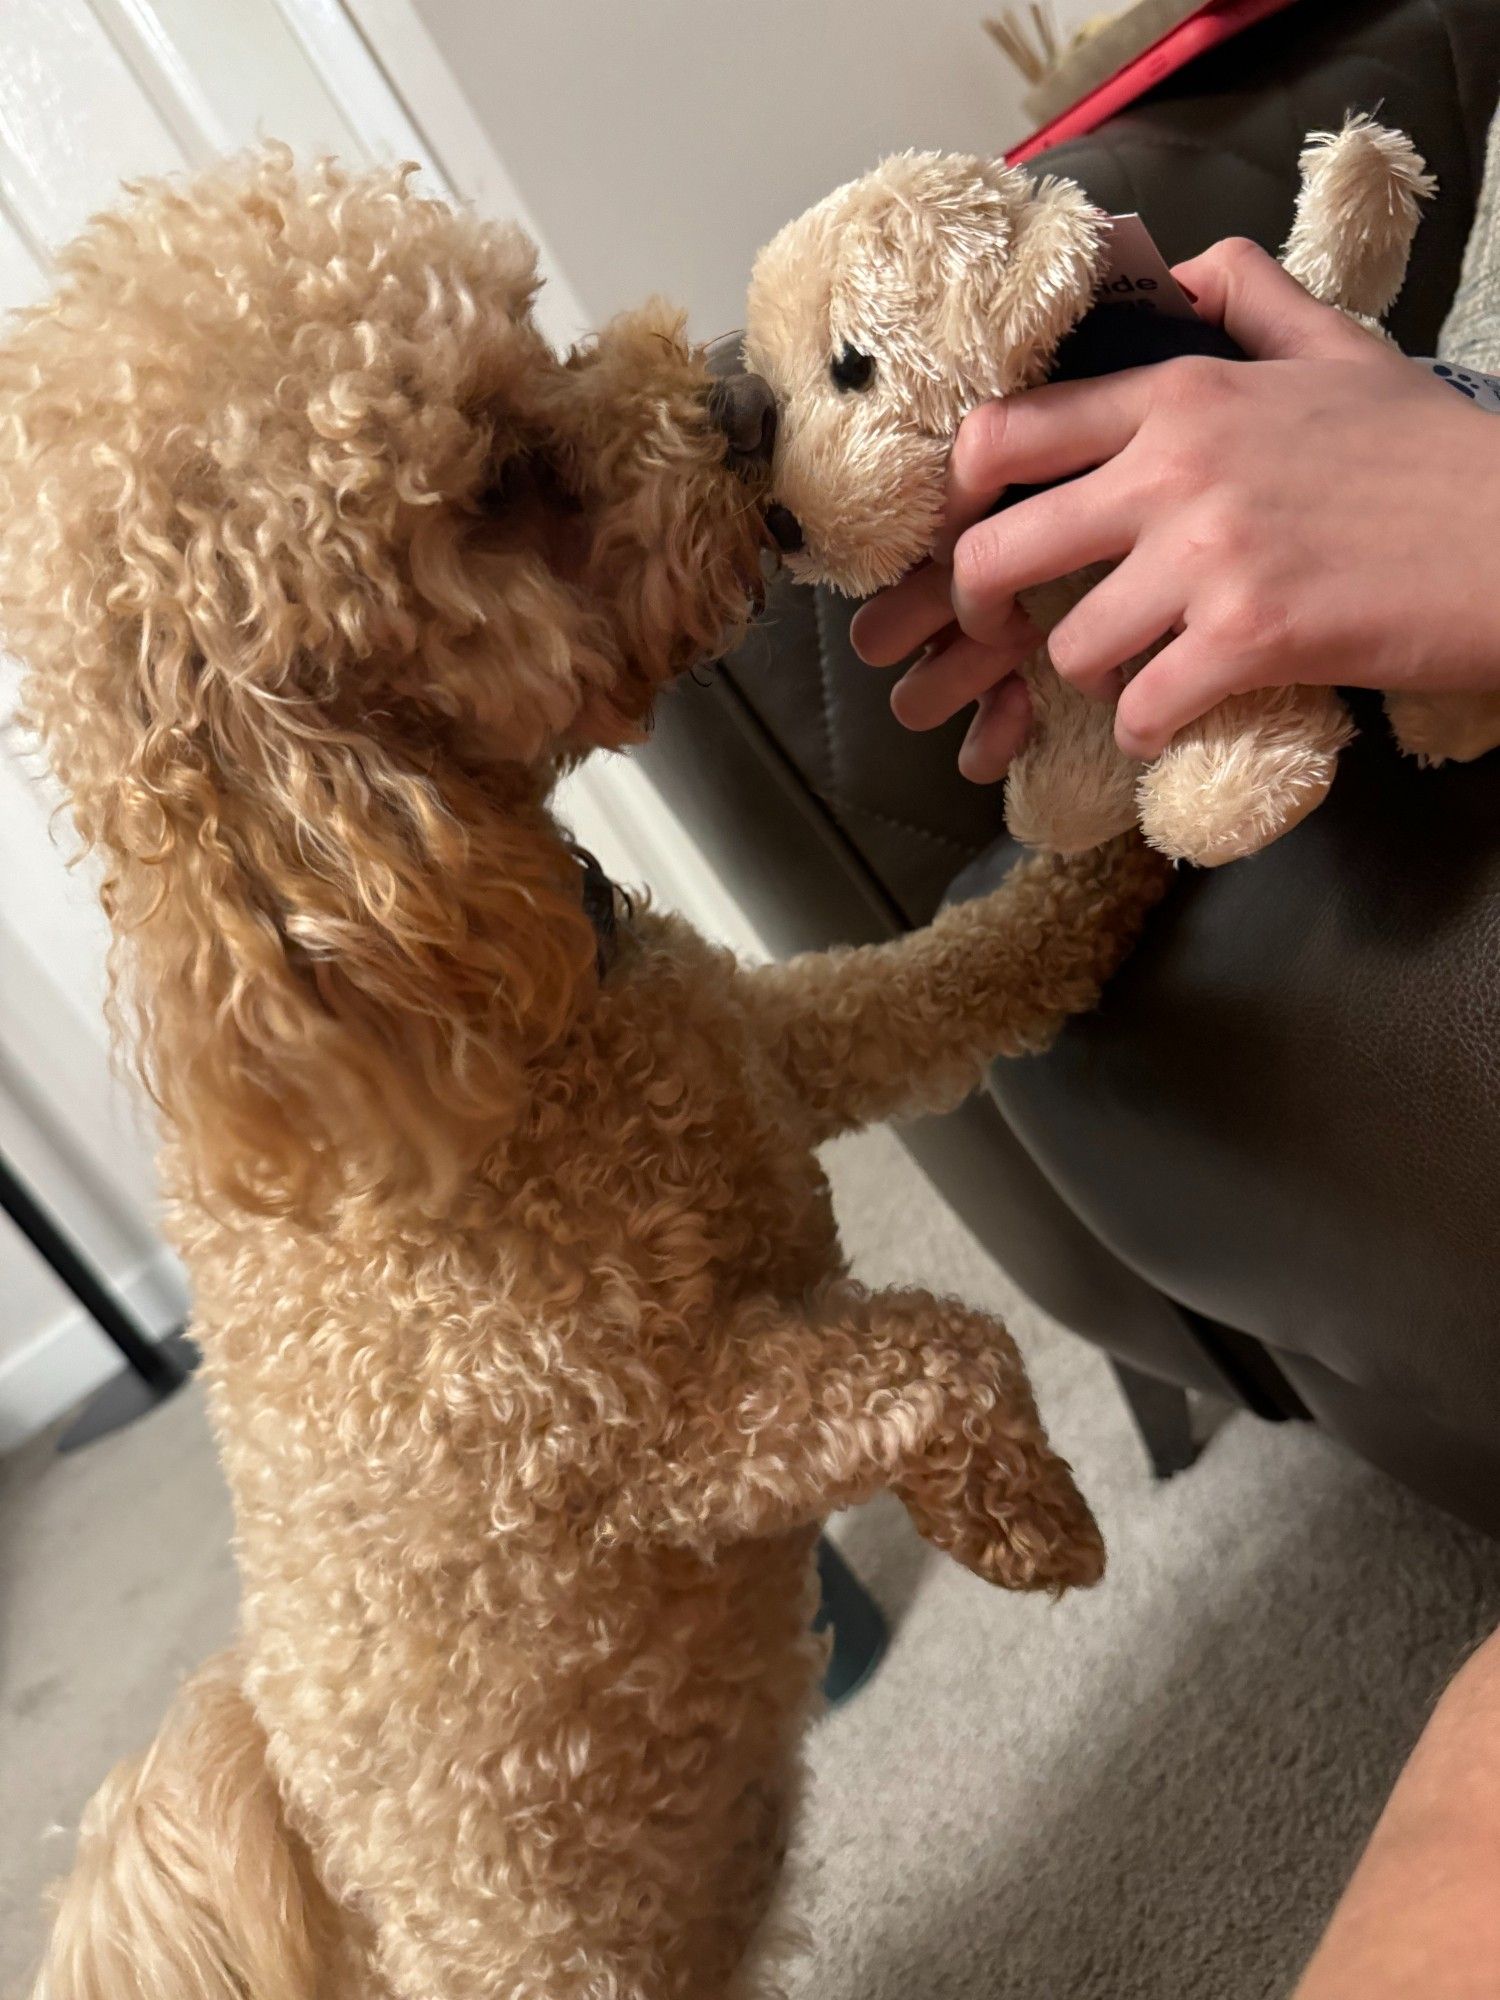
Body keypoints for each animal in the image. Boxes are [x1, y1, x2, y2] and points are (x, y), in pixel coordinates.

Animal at [0, 148, 1176, 1992]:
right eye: (488, 481)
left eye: (521, 322)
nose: (743, 405)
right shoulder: (671, 1451)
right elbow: (940, 1353)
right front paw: (1031, 1526)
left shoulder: (781, 1050)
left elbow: (955, 973)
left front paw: (1112, 862)